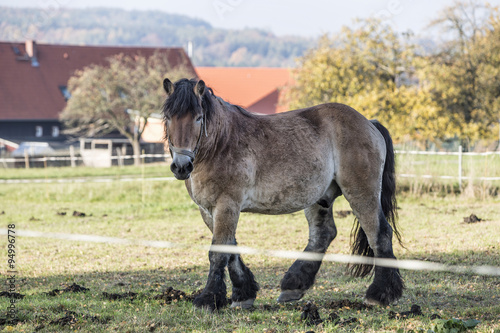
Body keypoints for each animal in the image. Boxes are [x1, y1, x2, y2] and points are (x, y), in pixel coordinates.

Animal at [162, 78, 404, 312]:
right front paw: (244, 293)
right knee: (323, 235)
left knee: (379, 234)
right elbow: (231, 248)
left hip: (362, 193)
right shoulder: (208, 210)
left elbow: (219, 251)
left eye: (198, 118)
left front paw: (208, 299)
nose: (181, 166)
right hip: (319, 198)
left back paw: (380, 294)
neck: (221, 143)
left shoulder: (226, 206)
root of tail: (369, 123)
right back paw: (293, 285)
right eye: (168, 118)